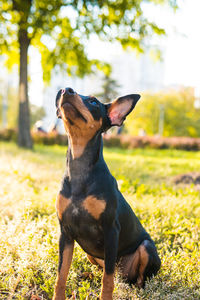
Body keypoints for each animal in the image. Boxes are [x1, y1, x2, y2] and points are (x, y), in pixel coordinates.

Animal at [53, 88, 161, 298]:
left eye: (94, 102)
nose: (66, 90)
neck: (80, 169)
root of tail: (124, 275)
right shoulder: (66, 234)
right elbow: (61, 275)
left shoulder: (111, 230)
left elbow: (107, 280)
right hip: (90, 253)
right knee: (104, 270)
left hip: (145, 248)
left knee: (136, 279)